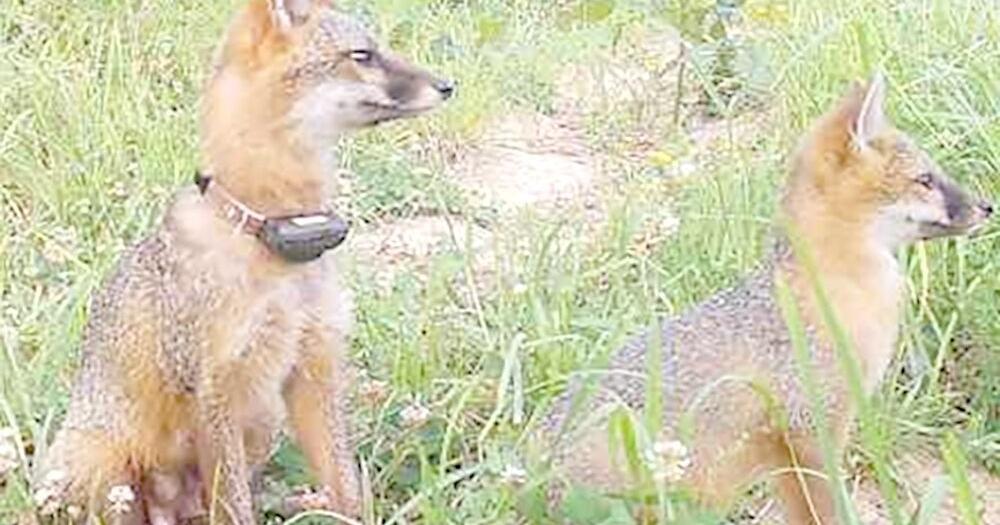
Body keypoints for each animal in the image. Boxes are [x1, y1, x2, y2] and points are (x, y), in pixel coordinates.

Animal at [32, 0, 453, 523]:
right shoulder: (212, 387)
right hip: (110, 469)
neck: (266, 233)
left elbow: (344, 484)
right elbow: (235, 504)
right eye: (362, 55)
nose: (448, 85)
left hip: (262, 421)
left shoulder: (314, 364)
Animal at [541, 73, 993, 524]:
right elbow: (829, 508)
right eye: (925, 180)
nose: (987, 206)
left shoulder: (789, 450)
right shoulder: (811, 427)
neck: (833, 290)